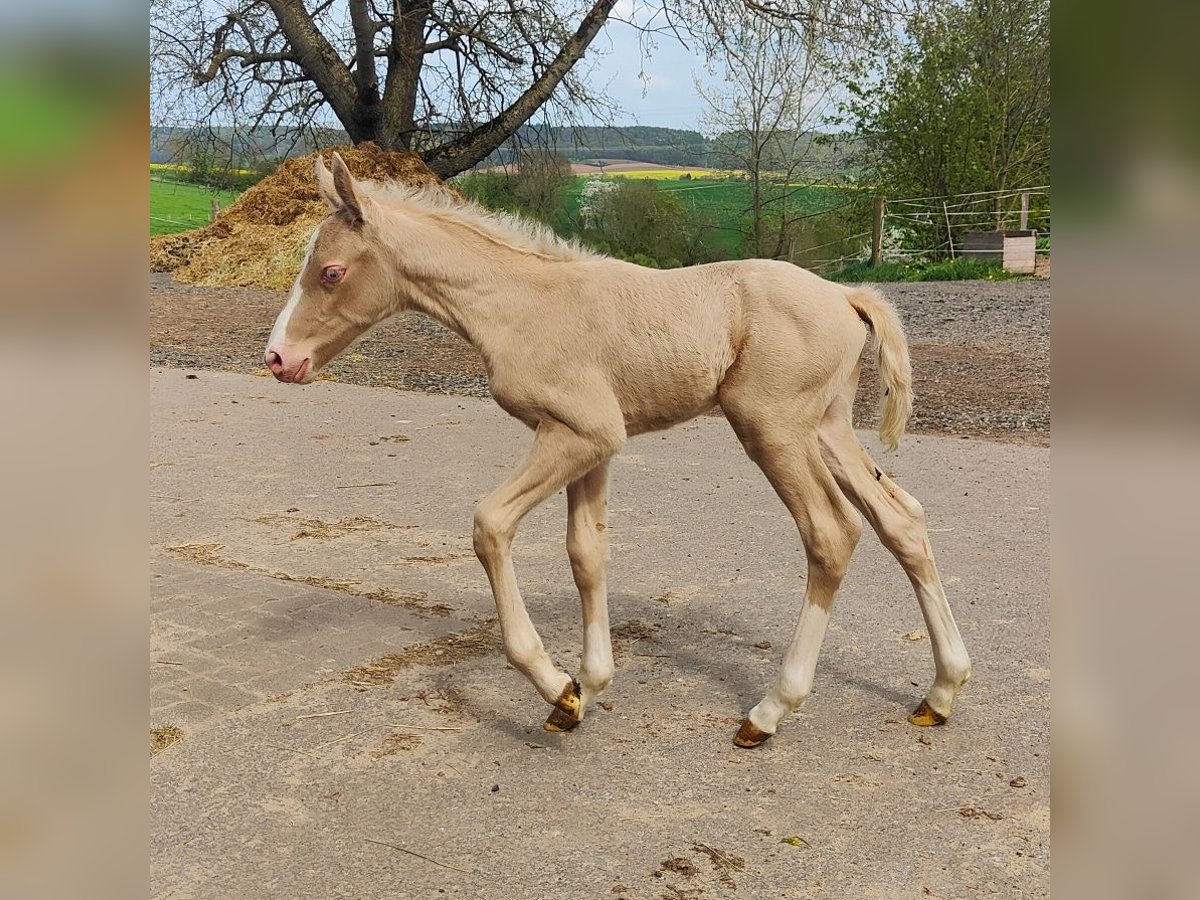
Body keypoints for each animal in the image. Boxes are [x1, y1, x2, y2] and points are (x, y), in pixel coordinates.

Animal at [267, 154, 969, 748]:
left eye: (330, 272)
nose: (279, 358)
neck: (521, 303)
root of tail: (847, 296)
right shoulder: (594, 445)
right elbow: (586, 552)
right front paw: (590, 682)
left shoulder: (580, 433)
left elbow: (490, 525)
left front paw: (558, 688)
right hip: (827, 428)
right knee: (901, 518)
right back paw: (941, 691)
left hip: (772, 427)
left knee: (831, 532)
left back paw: (769, 712)